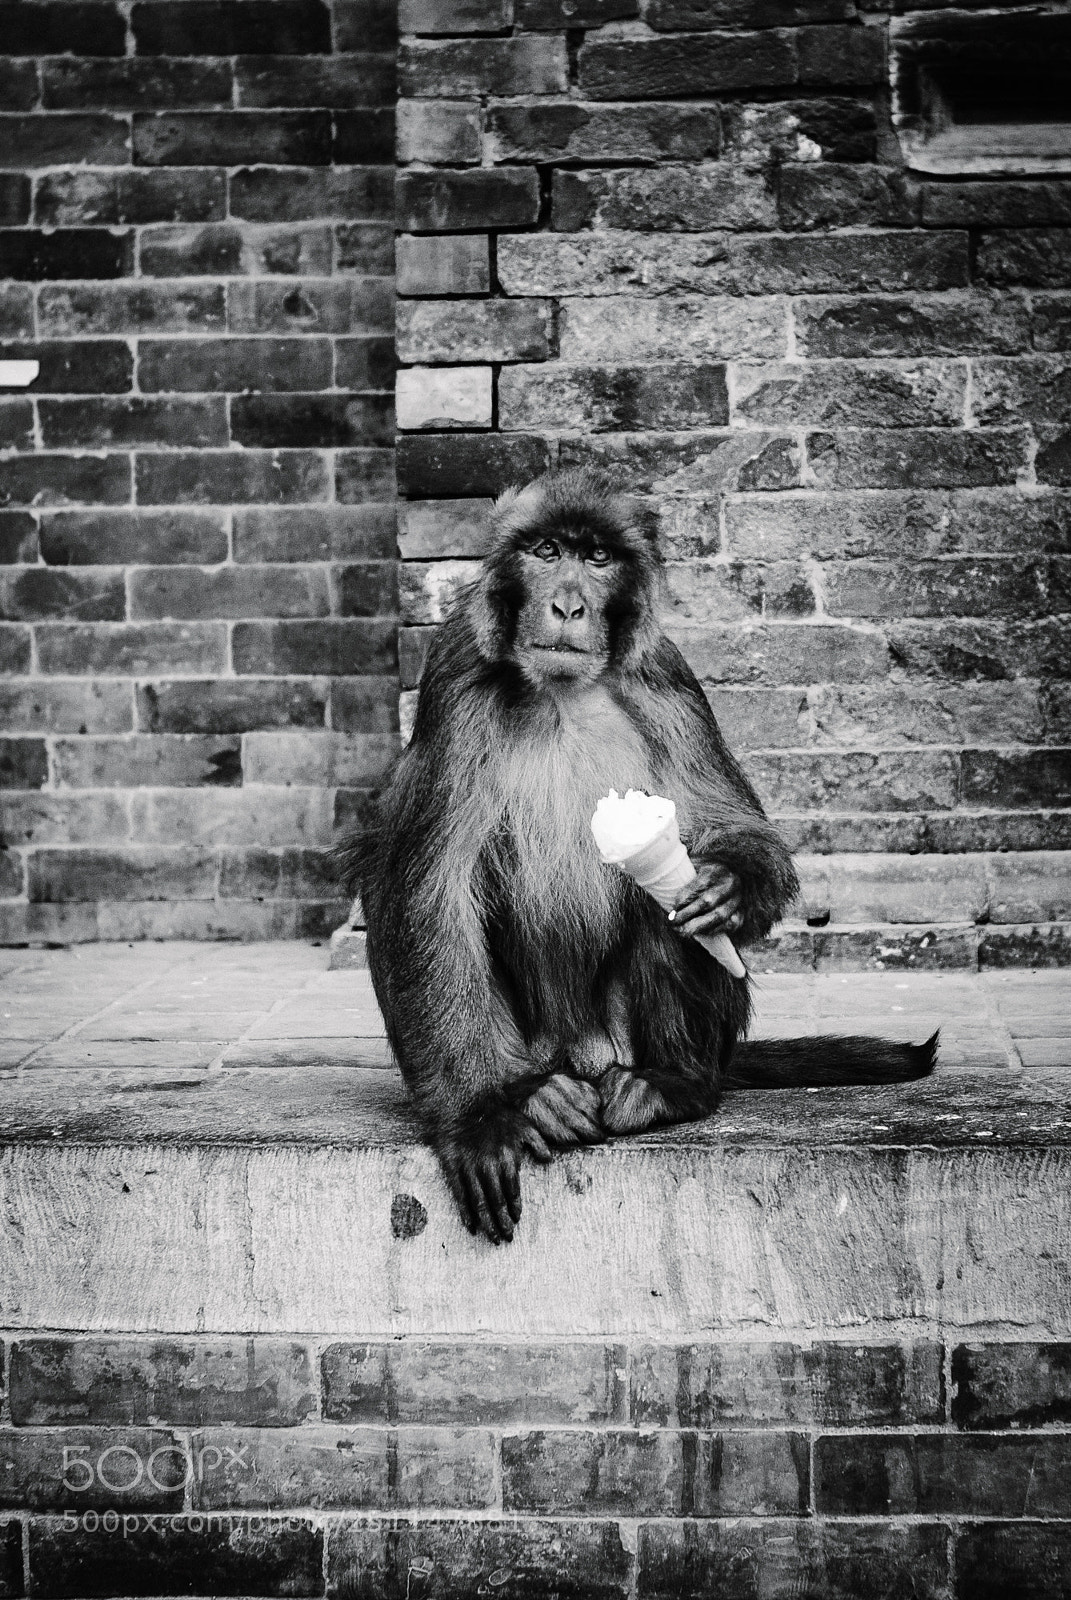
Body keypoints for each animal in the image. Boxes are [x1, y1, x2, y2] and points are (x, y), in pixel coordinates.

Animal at [338, 468, 937, 1244]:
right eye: (546, 551)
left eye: (596, 559)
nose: (568, 604)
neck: (561, 691)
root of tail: (586, 1055)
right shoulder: (456, 673)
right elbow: (427, 891)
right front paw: (478, 1118)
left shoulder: (664, 677)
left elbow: (730, 826)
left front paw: (727, 887)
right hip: (536, 1043)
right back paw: (530, 1096)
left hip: (632, 1036)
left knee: (667, 912)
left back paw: (674, 1082)